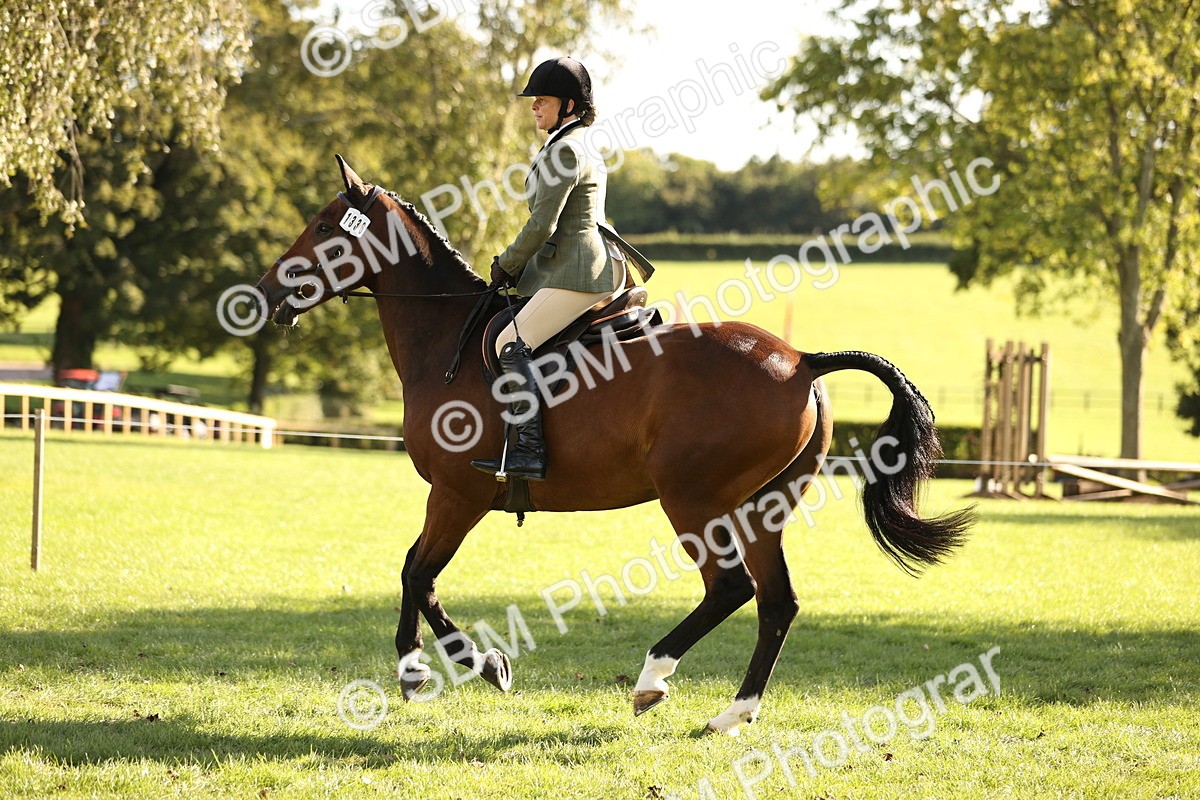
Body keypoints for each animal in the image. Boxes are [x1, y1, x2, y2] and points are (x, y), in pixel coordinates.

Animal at [254, 156, 975, 736]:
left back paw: (652, 679)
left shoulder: (458, 493)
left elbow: (414, 571)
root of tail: (801, 362)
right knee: (777, 602)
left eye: (324, 227)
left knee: (730, 589)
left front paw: (429, 669)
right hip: (759, 507)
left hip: (693, 499)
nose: (262, 295)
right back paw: (731, 714)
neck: (442, 343)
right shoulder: (459, 497)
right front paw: (482, 663)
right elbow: (419, 574)